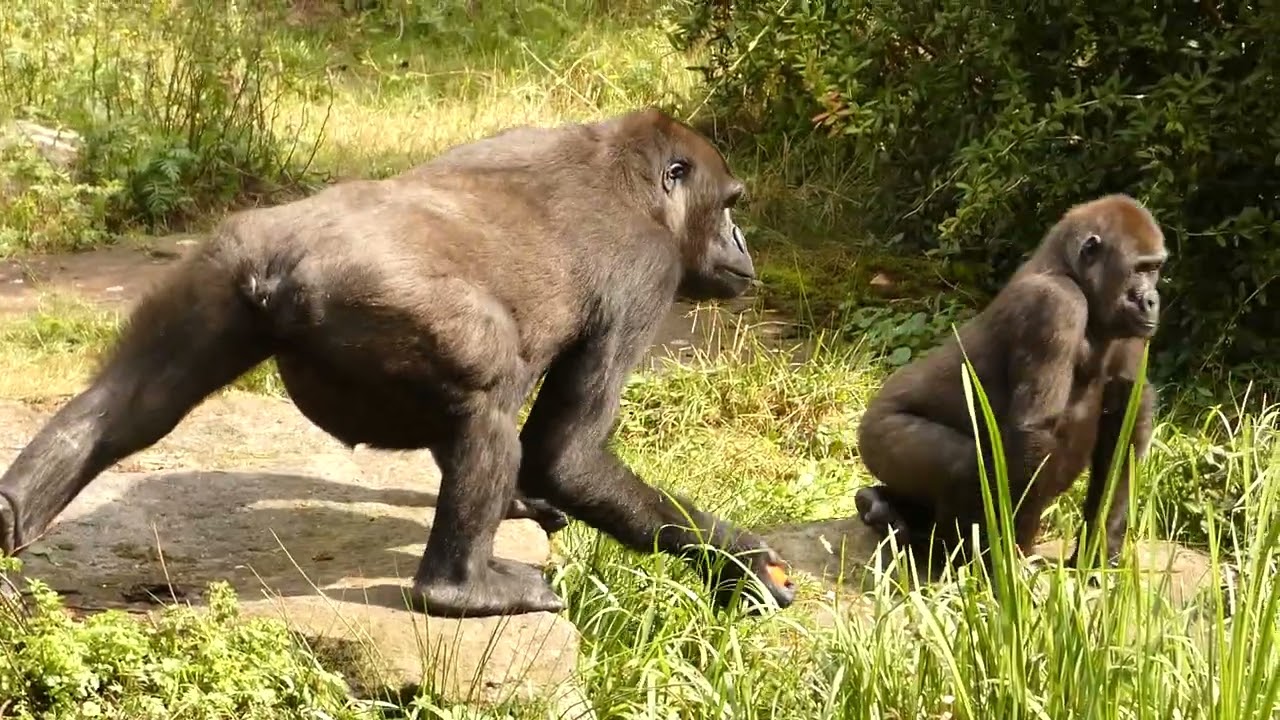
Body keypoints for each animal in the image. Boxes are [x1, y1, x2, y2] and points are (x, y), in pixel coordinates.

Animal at [0, 108, 797, 618]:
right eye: (730, 203)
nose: (742, 244)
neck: (628, 171)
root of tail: (281, 264)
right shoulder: (646, 274)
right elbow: (564, 454)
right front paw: (737, 561)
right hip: (371, 299)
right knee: (488, 395)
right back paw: (459, 590)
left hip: (222, 262)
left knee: (131, 402)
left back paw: (14, 516)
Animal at [853, 194, 1166, 571]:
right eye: (1139, 269)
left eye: (1155, 268)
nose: (1151, 300)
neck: (1068, 269)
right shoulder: (1055, 303)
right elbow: (1035, 433)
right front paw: (1006, 565)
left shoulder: (1130, 327)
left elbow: (1126, 416)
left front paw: (1101, 551)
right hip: (875, 435)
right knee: (963, 462)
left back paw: (882, 508)